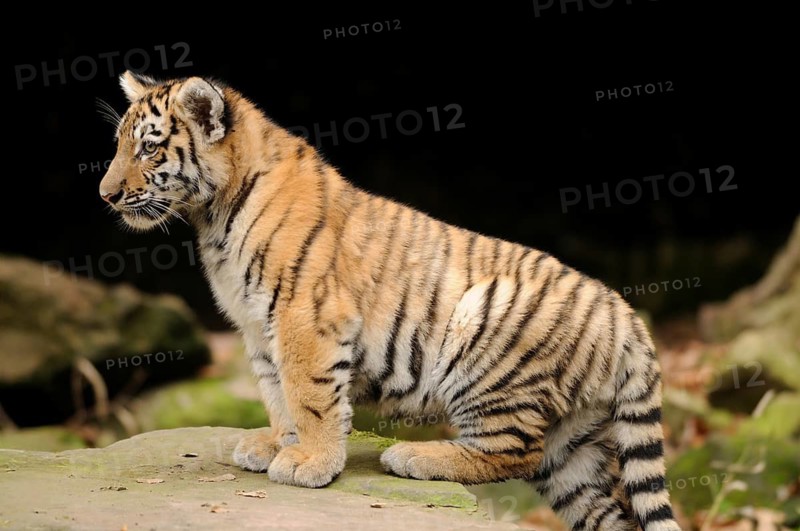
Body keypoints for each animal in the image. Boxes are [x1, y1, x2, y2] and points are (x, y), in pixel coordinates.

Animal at [98, 70, 681, 531]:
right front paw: (279, 444)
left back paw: (413, 456)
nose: (105, 194)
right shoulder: (257, 327)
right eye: (121, 144)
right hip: (575, 444)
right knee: (602, 507)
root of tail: (627, 317)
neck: (212, 216)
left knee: (513, 452)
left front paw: (310, 462)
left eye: (148, 147)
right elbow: (274, 391)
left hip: (487, 349)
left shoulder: (303, 317)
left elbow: (308, 394)